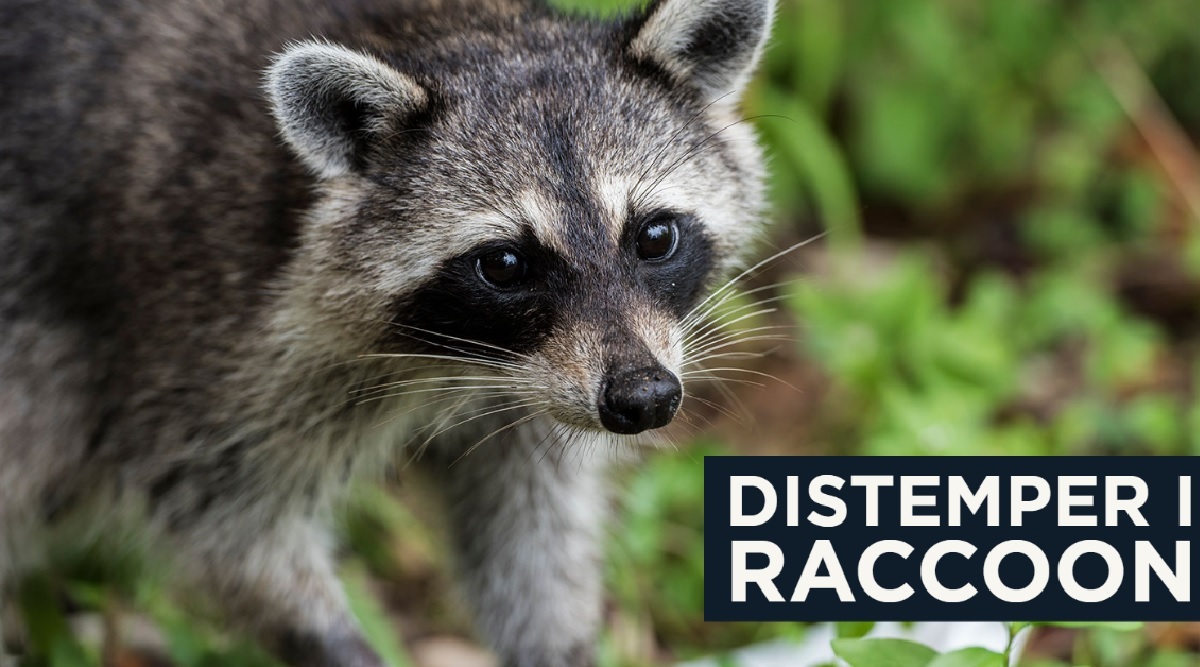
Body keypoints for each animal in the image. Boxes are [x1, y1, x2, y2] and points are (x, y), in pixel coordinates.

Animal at [0, 0, 774, 664]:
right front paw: (322, 631)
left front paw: (555, 640)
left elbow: (531, 520)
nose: (644, 401)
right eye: (504, 264)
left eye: (655, 236)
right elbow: (222, 517)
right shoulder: (189, 326)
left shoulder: (550, 387)